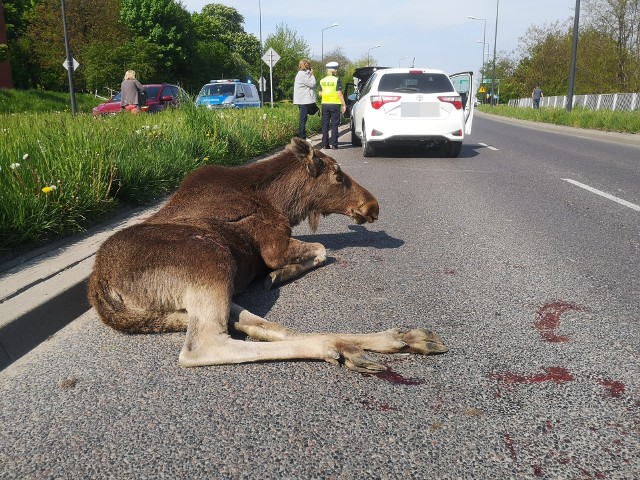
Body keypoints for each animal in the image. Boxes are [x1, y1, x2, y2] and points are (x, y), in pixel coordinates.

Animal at [87, 137, 444, 374]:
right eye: (338, 176)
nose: (373, 206)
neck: (284, 203)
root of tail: (102, 293)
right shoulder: (274, 246)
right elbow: (321, 249)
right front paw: (281, 271)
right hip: (209, 257)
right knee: (206, 345)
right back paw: (337, 347)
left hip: (201, 293)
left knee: (264, 325)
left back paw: (393, 338)